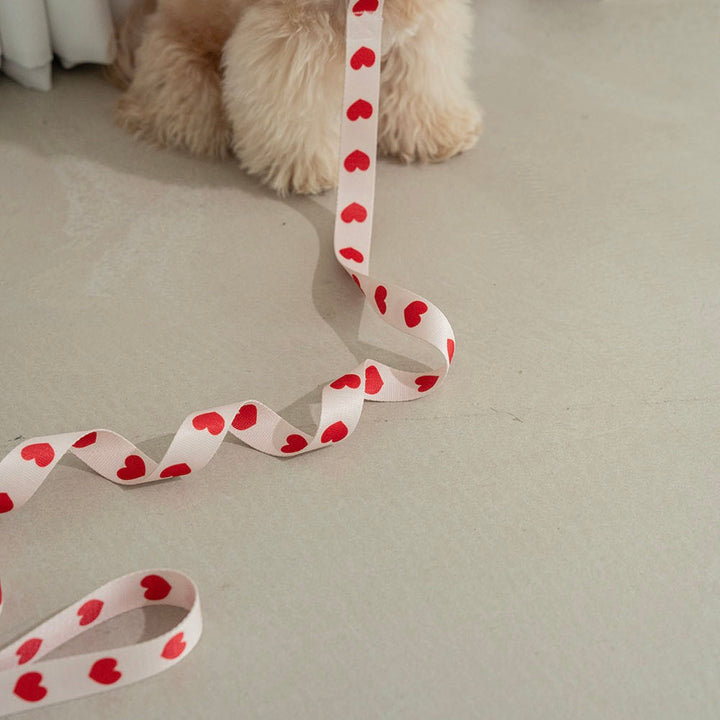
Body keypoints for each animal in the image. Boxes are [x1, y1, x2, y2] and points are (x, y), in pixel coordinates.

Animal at [111, 0, 481, 195]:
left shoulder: (422, 32)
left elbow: (420, 85)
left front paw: (438, 134)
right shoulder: (294, 35)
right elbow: (296, 109)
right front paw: (303, 170)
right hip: (188, 78)